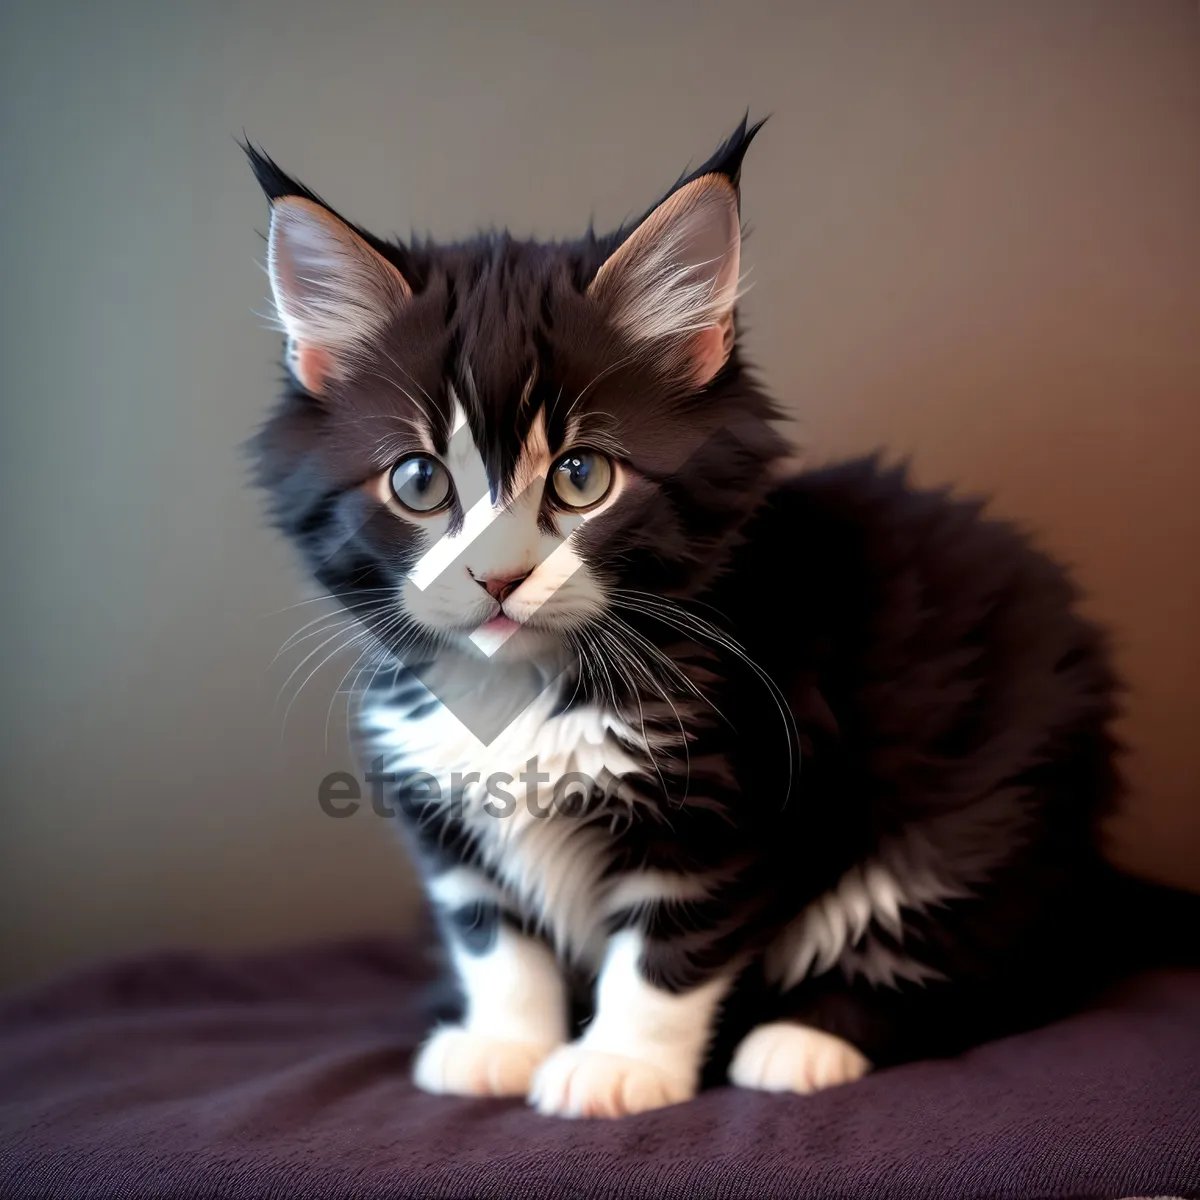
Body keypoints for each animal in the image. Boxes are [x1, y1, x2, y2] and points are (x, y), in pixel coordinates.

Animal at [243, 119, 1190, 1113]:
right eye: (421, 482)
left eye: (582, 476)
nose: (498, 578)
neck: (526, 686)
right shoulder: (443, 811)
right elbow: (495, 937)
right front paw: (505, 1042)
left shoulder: (734, 794)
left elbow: (668, 948)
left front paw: (619, 1064)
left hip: (994, 805)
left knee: (972, 957)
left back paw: (806, 1040)